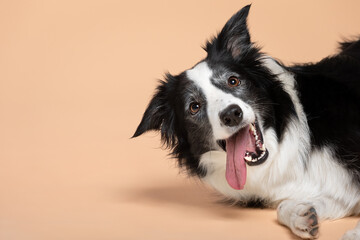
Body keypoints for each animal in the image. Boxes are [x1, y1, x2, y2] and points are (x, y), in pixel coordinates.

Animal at [132, 5, 360, 240]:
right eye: (194, 106)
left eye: (233, 81)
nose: (232, 114)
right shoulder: (338, 191)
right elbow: (282, 208)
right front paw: (301, 215)